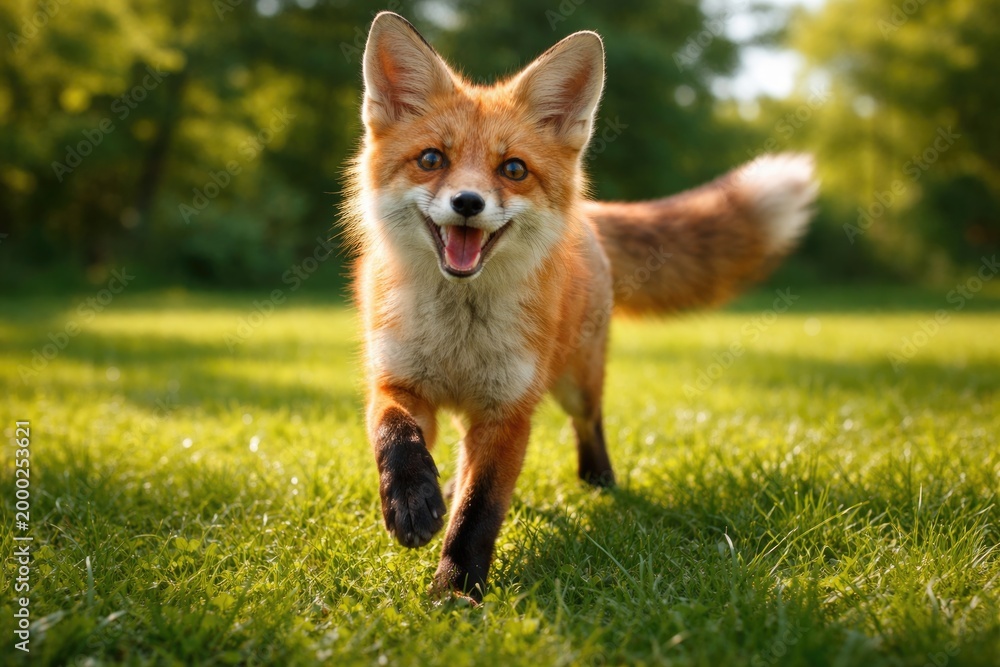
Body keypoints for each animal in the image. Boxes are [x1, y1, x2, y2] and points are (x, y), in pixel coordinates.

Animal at [344, 12, 818, 601]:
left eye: (513, 169)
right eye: (432, 159)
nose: (468, 203)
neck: (460, 332)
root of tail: (587, 215)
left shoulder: (509, 412)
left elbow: (479, 512)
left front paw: (455, 591)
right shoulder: (397, 382)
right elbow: (394, 436)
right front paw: (412, 501)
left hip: (576, 380)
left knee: (589, 420)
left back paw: (599, 479)